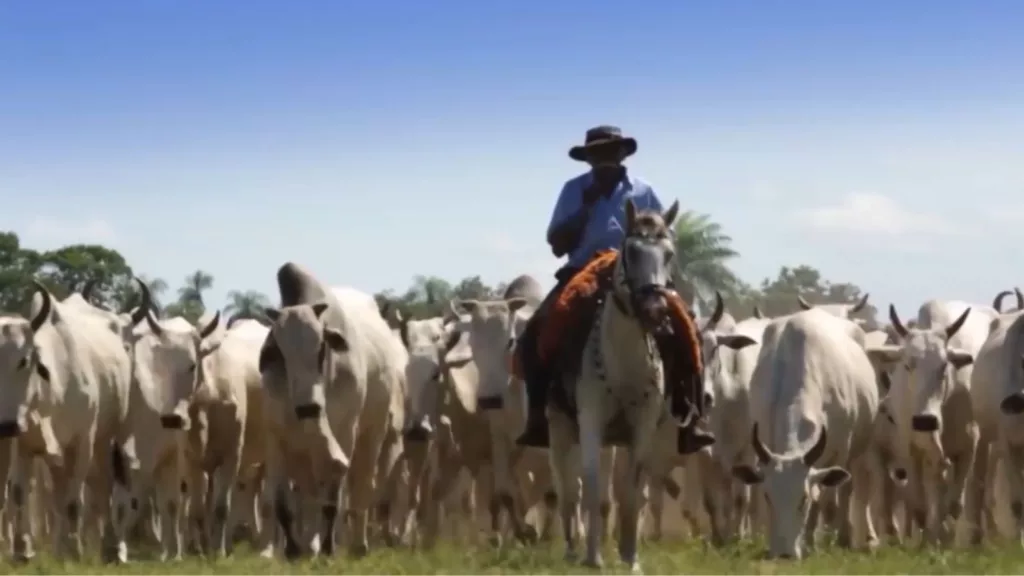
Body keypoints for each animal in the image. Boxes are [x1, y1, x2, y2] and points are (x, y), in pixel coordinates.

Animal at [737, 309, 880, 557]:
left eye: (802, 499)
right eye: (767, 496)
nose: (784, 554)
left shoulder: (839, 454)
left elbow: (825, 502)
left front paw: (813, 542)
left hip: (857, 452)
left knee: (847, 490)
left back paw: (845, 537)